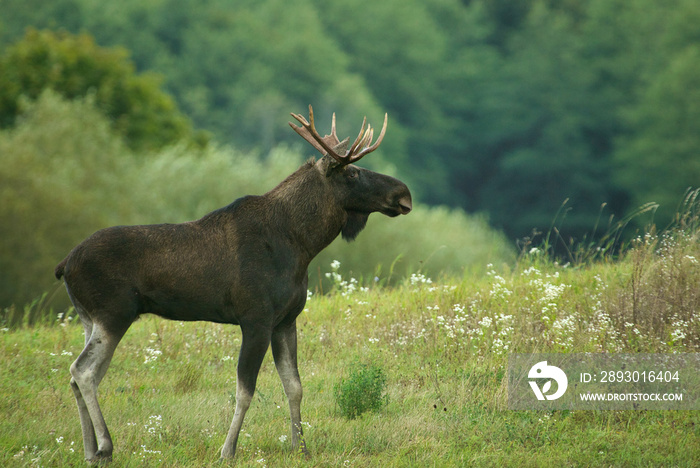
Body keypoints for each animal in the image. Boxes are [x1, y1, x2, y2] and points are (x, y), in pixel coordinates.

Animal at [57, 107, 412, 464]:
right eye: (352, 173)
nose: (403, 193)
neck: (301, 245)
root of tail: (64, 266)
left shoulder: (286, 320)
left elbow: (294, 386)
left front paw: (301, 447)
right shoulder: (256, 318)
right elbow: (245, 390)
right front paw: (228, 450)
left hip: (90, 319)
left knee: (81, 376)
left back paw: (89, 451)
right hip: (114, 313)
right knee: (83, 371)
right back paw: (105, 446)